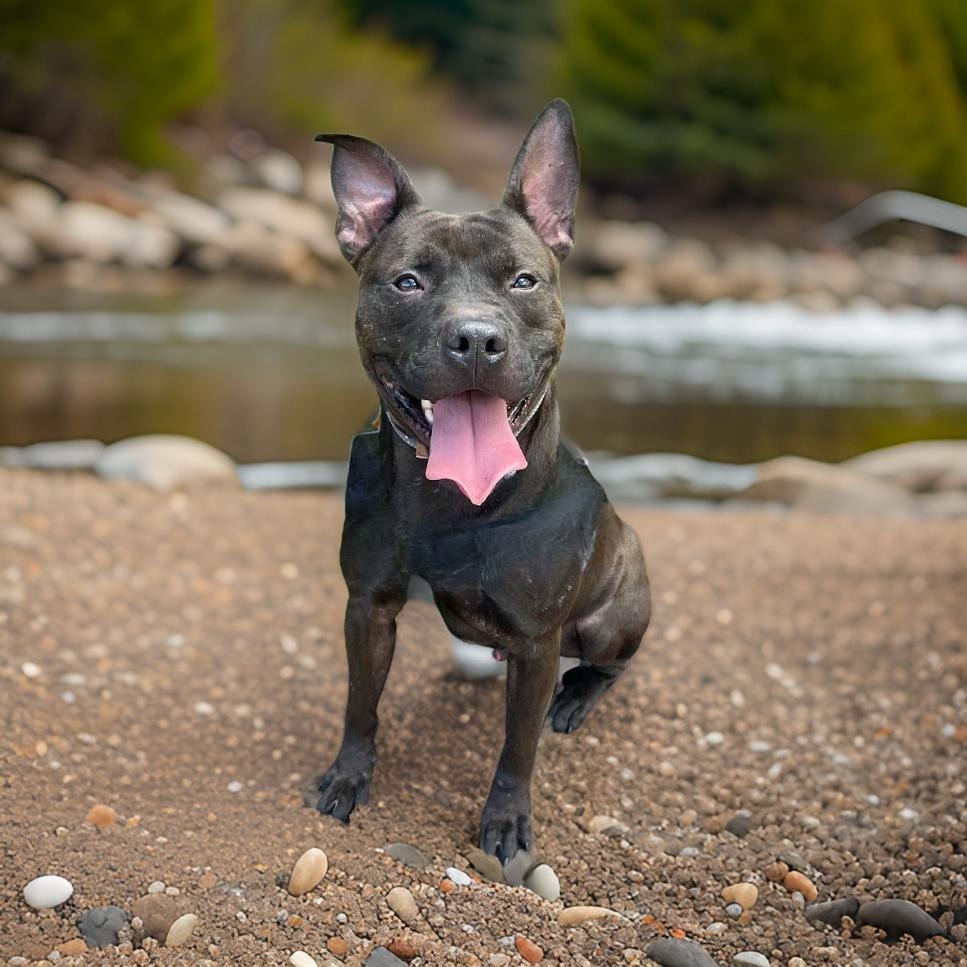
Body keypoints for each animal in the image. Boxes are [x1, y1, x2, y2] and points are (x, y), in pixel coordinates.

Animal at [316, 102, 652, 864]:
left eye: (523, 281)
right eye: (408, 281)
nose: (475, 339)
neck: (452, 505)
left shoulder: (536, 643)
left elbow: (517, 748)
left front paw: (505, 821)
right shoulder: (367, 608)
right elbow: (360, 705)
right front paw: (349, 776)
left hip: (611, 615)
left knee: (611, 665)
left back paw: (576, 698)